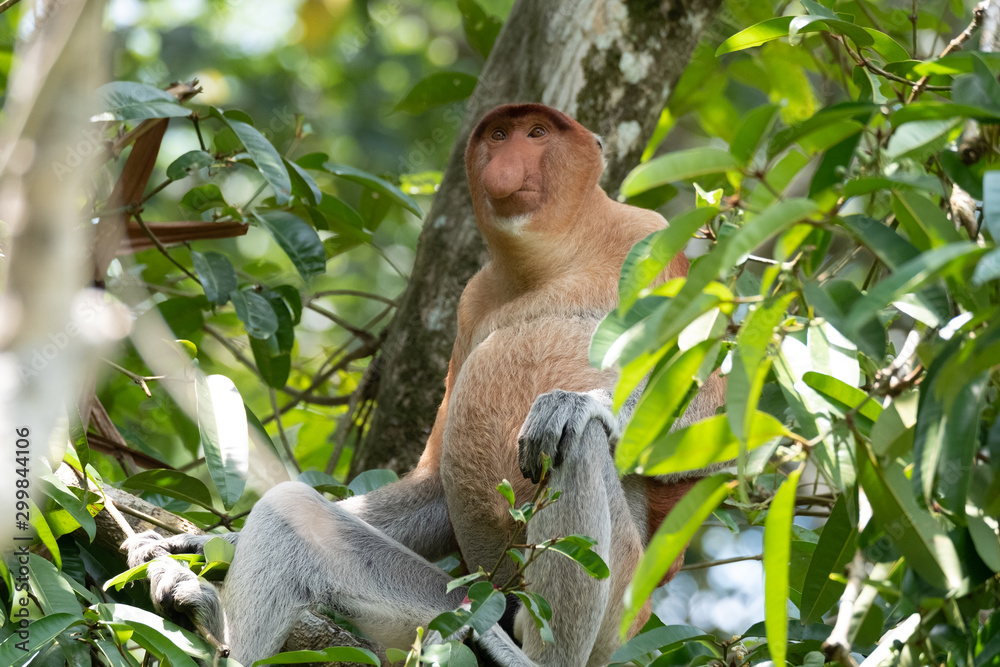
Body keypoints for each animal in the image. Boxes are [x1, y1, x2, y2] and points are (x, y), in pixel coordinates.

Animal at [124, 103, 726, 666]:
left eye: (538, 134)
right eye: (499, 136)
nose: (505, 167)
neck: (548, 261)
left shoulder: (648, 238)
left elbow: (716, 398)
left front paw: (578, 402)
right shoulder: (470, 302)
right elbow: (436, 481)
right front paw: (206, 540)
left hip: (617, 602)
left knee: (571, 447)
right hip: (466, 603)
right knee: (292, 517)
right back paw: (206, 617)